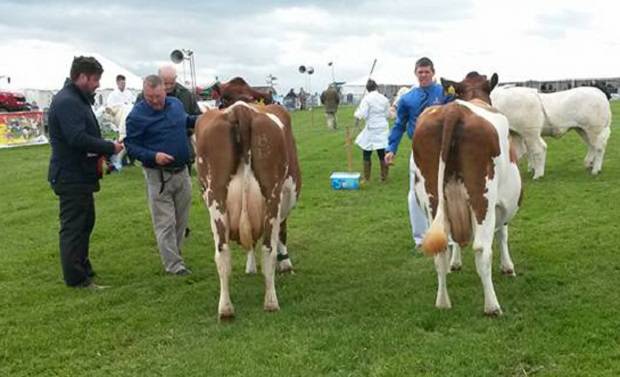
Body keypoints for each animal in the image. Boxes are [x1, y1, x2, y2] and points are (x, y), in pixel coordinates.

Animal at [194, 100, 300, 318]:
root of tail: (240, 109)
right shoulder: (285, 200)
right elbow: (281, 233)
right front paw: (285, 264)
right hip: (273, 195)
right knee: (268, 249)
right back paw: (271, 302)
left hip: (215, 197)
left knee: (222, 253)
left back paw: (226, 309)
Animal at [414, 71, 520, 314]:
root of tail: (454, 111)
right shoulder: (501, 204)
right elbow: (503, 233)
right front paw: (508, 267)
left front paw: (455, 263)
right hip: (483, 198)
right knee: (481, 248)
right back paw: (492, 306)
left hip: (432, 199)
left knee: (441, 248)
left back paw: (442, 301)